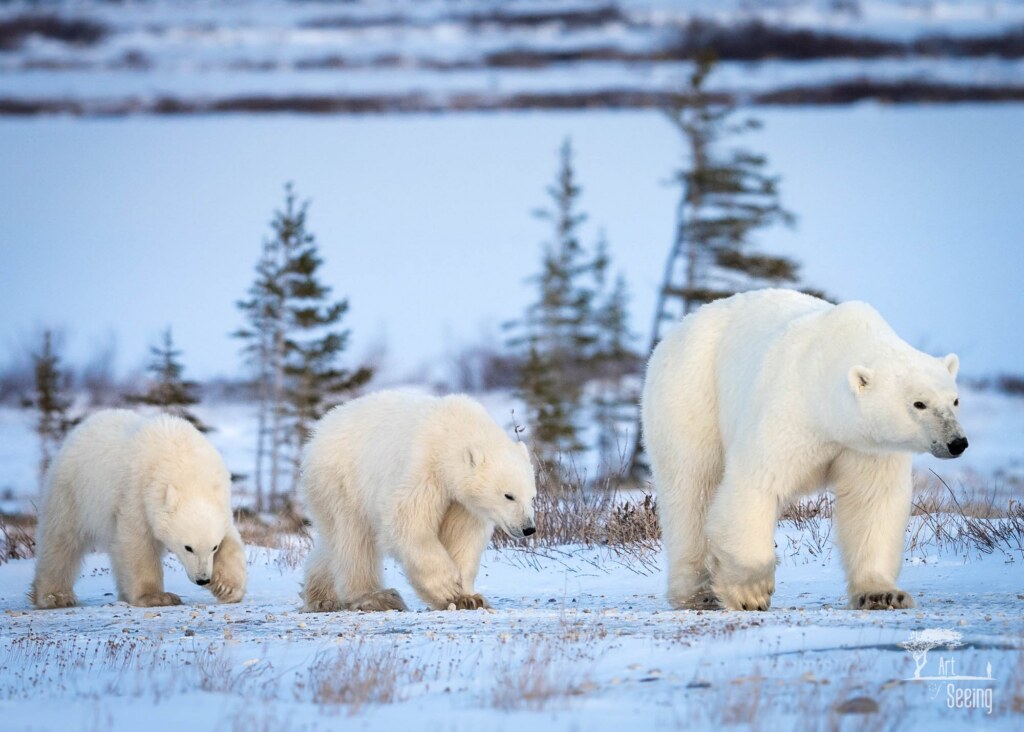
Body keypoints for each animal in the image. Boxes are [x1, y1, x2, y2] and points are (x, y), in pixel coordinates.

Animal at [30, 409, 247, 609]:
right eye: (188, 547)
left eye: (214, 547)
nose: (203, 579)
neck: (185, 467)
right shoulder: (136, 492)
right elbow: (138, 541)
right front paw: (156, 597)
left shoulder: (220, 502)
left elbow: (231, 540)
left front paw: (228, 588)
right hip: (73, 491)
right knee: (61, 540)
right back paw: (55, 596)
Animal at [300, 390, 537, 613]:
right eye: (509, 495)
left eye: (532, 496)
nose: (528, 528)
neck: (451, 431)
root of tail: (318, 432)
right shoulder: (423, 467)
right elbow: (408, 521)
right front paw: (447, 587)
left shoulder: (463, 503)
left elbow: (463, 536)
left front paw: (468, 598)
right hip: (343, 481)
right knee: (354, 538)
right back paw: (377, 597)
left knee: (332, 545)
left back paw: (321, 597)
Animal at [641, 289, 967, 612]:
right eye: (919, 403)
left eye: (954, 400)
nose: (957, 442)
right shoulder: (789, 410)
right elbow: (756, 484)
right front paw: (751, 593)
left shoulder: (866, 446)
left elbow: (872, 500)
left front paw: (883, 595)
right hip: (692, 394)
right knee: (691, 488)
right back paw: (699, 593)